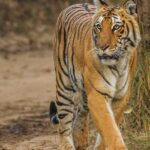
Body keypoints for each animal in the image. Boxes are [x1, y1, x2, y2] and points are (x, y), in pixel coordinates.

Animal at [49, 0, 141, 149]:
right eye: (98, 27)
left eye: (116, 27)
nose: (102, 47)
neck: (118, 64)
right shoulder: (97, 95)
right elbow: (109, 127)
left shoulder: (121, 96)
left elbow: (110, 126)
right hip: (64, 84)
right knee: (64, 124)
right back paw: (67, 144)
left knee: (81, 110)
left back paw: (80, 139)